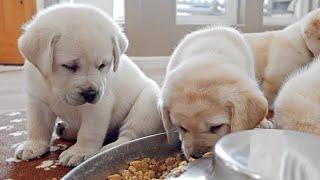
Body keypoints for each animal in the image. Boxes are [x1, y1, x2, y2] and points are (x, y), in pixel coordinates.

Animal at [14, 3, 162, 166]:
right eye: (69, 66)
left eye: (102, 65)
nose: (90, 93)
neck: (54, 87)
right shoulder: (37, 100)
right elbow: (37, 125)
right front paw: (33, 145)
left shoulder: (98, 107)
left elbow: (88, 131)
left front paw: (79, 152)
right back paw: (66, 129)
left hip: (146, 105)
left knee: (129, 135)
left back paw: (108, 150)